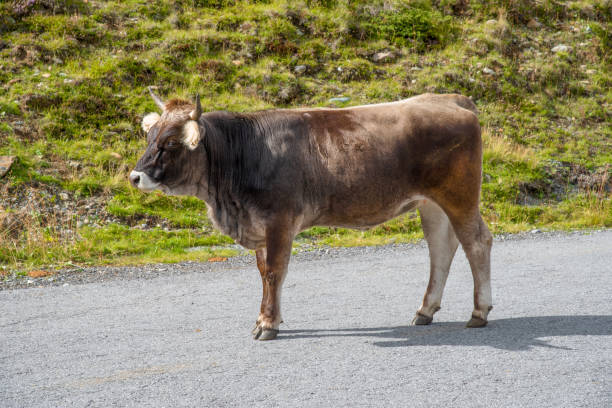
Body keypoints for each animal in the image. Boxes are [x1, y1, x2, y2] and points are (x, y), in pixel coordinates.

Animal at [129, 90, 492, 342]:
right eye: (149, 137)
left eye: (171, 143)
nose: (135, 176)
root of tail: (449, 99)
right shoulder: (258, 225)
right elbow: (263, 274)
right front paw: (264, 319)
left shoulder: (279, 221)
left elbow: (275, 273)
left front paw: (268, 325)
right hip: (431, 204)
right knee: (441, 249)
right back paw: (425, 310)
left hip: (459, 196)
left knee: (476, 242)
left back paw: (479, 312)